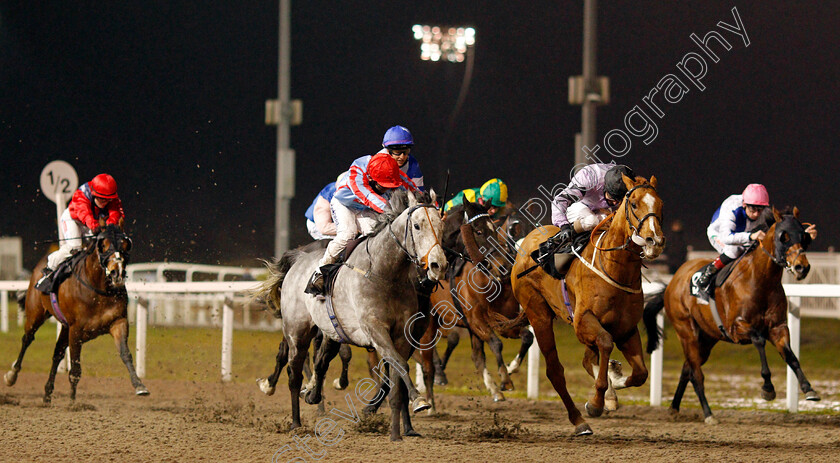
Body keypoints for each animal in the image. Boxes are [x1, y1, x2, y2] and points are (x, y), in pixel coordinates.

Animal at [5, 224, 148, 402]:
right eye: (104, 245)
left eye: (125, 245)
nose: (117, 273)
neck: (98, 289)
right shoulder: (76, 330)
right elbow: (75, 369)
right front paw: (72, 402)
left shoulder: (118, 322)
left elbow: (125, 354)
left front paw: (139, 385)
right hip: (36, 314)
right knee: (27, 339)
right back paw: (12, 375)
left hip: (64, 327)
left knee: (57, 353)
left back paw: (47, 393)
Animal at [249, 189, 446, 442]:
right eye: (417, 225)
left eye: (441, 226)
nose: (438, 264)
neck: (384, 272)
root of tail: (298, 259)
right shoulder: (375, 329)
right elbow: (400, 366)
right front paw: (419, 400)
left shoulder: (403, 336)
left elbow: (395, 380)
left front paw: (397, 433)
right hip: (297, 332)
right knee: (294, 373)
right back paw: (295, 422)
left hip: (330, 332)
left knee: (320, 362)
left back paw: (312, 394)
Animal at [512, 173, 664, 436]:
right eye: (634, 204)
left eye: (660, 205)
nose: (654, 241)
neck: (615, 268)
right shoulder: (583, 321)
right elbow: (605, 342)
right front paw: (596, 402)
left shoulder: (626, 329)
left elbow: (640, 374)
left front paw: (613, 385)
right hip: (538, 314)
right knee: (555, 370)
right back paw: (579, 421)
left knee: (587, 359)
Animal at [648, 208, 816, 426]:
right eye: (783, 236)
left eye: (803, 236)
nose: (801, 267)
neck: (760, 281)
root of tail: (671, 283)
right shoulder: (736, 328)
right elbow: (759, 340)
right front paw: (768, 388)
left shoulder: (778, 327)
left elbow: (791, 356)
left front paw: (808, 389)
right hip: (686, 331)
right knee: (696, 374)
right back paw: (708, 414)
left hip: (707, 338)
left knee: (687, 369)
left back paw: (674, 407)